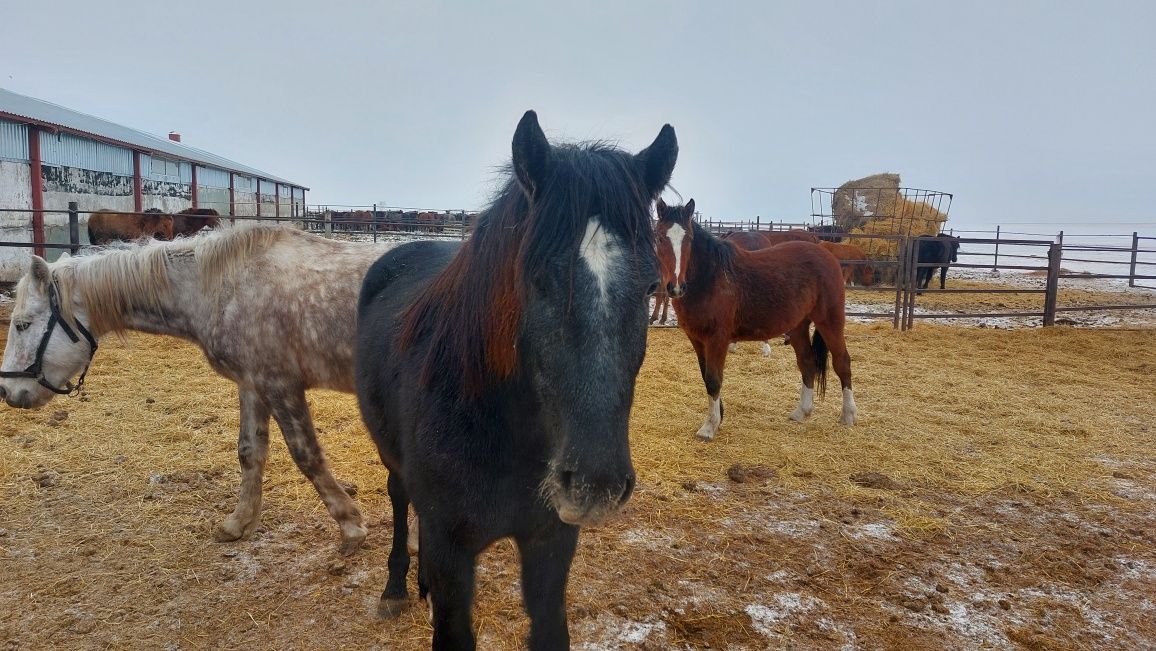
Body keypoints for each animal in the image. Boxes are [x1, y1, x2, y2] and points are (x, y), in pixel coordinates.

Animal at [0, 224, 393, 555]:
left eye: (22, 325)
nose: (7, 391)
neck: (221, 287)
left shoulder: (280, 384)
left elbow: (306, 455)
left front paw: (350, 526)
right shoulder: (252, 384)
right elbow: (250, 452)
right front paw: (237, 523)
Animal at [351, 112, 675, 651]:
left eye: (652, 285)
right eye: (536, 279)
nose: (597, 484)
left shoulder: (550, 544)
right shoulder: (452, 556)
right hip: (389, 453)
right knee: (399, 498)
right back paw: (396, 587)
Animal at [656, 200, 855, 444]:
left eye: (690, 239)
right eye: (660, 237)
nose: (675, 287)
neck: (711, 277)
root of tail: (827, 254)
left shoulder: (717, 339)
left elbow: (713, 379)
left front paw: (709, 427)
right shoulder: (697, 339)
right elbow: (706, 378)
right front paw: (718, 417)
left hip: (830, 321)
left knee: (842, 362)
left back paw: (848, 415)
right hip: (798, 326)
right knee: (807, 362)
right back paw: (802, 412)